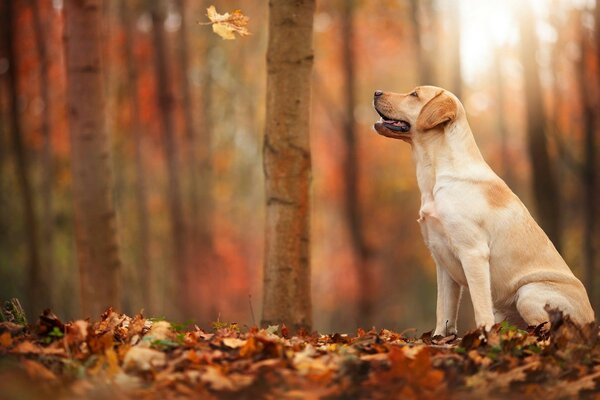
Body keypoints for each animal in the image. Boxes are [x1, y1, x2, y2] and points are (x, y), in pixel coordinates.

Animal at [372, 86, 592, 334]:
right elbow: (443, 309)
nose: (376, 92)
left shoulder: (473, 252)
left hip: (528, 292)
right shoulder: (441, 259)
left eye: (414, 95)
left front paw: (483, 335)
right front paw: (439, 337)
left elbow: (479, 306)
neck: (435, 175)